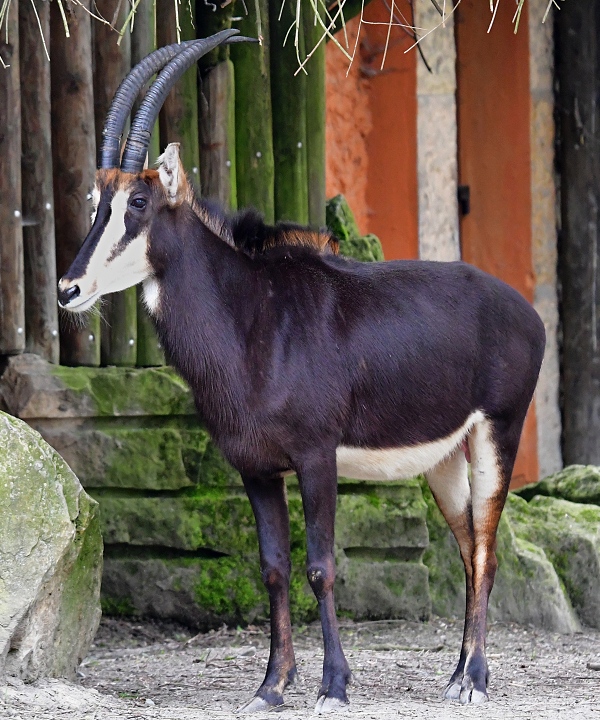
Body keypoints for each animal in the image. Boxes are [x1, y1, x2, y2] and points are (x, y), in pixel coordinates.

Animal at [58, 31, 548, 712]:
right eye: (94, 202)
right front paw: (270, 686)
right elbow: (273, 568)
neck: (252, 317)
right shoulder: (256, 468)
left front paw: (333, 686)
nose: (69, 289)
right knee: (468, 549)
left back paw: (474, 681)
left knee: (486, 549)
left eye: (137, 200)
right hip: (445, 461)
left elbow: (321, 566)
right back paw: (455, 676)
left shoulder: (317, 458)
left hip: (496, 435)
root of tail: (526, 313)